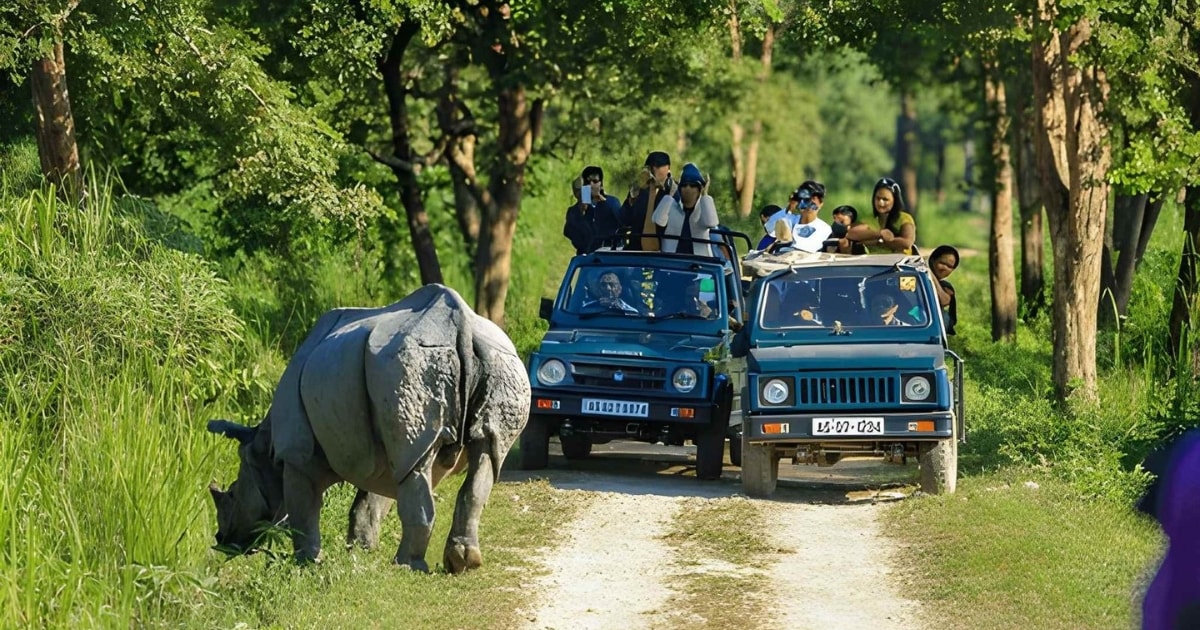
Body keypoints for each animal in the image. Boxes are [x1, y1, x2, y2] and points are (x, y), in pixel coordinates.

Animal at [207, 284, 530, 573]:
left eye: (233, 493)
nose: (221, 540)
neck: (264, 444)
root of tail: (462, 325)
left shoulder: (297, 453)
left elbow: (303, 511)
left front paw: (306, 563)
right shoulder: (384, 450)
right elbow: (373, 502)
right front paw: (362, 551)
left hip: (410, 367)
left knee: (424, 468)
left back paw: (407, 566)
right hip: (499, 363)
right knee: (484, 455)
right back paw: (463, 562)